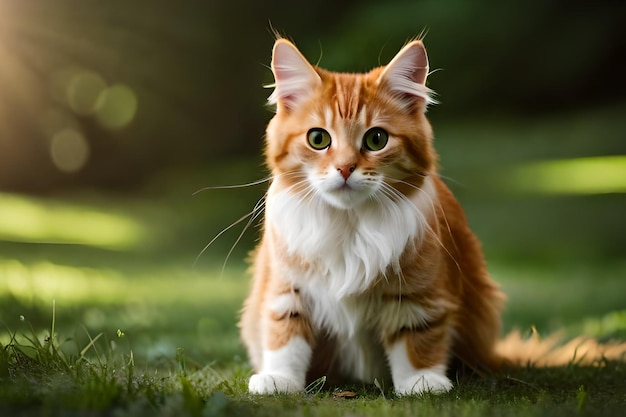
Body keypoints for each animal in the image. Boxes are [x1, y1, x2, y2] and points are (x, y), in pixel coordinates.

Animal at [238, 35, 620, 394]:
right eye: (318, 139)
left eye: (376, 139)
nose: (345, 168)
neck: (349, 224)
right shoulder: (287, 287)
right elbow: (285, 335)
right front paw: (278, 379)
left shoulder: (419, 292)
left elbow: (417, 338)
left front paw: (421, 382)